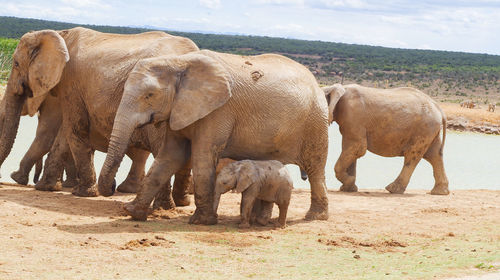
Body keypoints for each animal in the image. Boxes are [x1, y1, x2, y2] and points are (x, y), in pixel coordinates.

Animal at [0, 27, 198, 208]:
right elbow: (65, 133)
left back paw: (159, 205)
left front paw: (82, 193)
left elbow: (72, 129)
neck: (60, 34)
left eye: (15, 63)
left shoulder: (71, 82)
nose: (111, 187)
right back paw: (175, 202)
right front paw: (47, 187)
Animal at [97, 49, 332, 223]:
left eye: (149, 95)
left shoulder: (217, 111)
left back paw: (315, 217)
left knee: (315, 168)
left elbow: (201, 157)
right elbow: (169, 157)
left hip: (316, 122)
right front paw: (132, 212)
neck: (179, 62)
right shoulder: (180, 108)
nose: (112, 187)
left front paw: (201, 221)